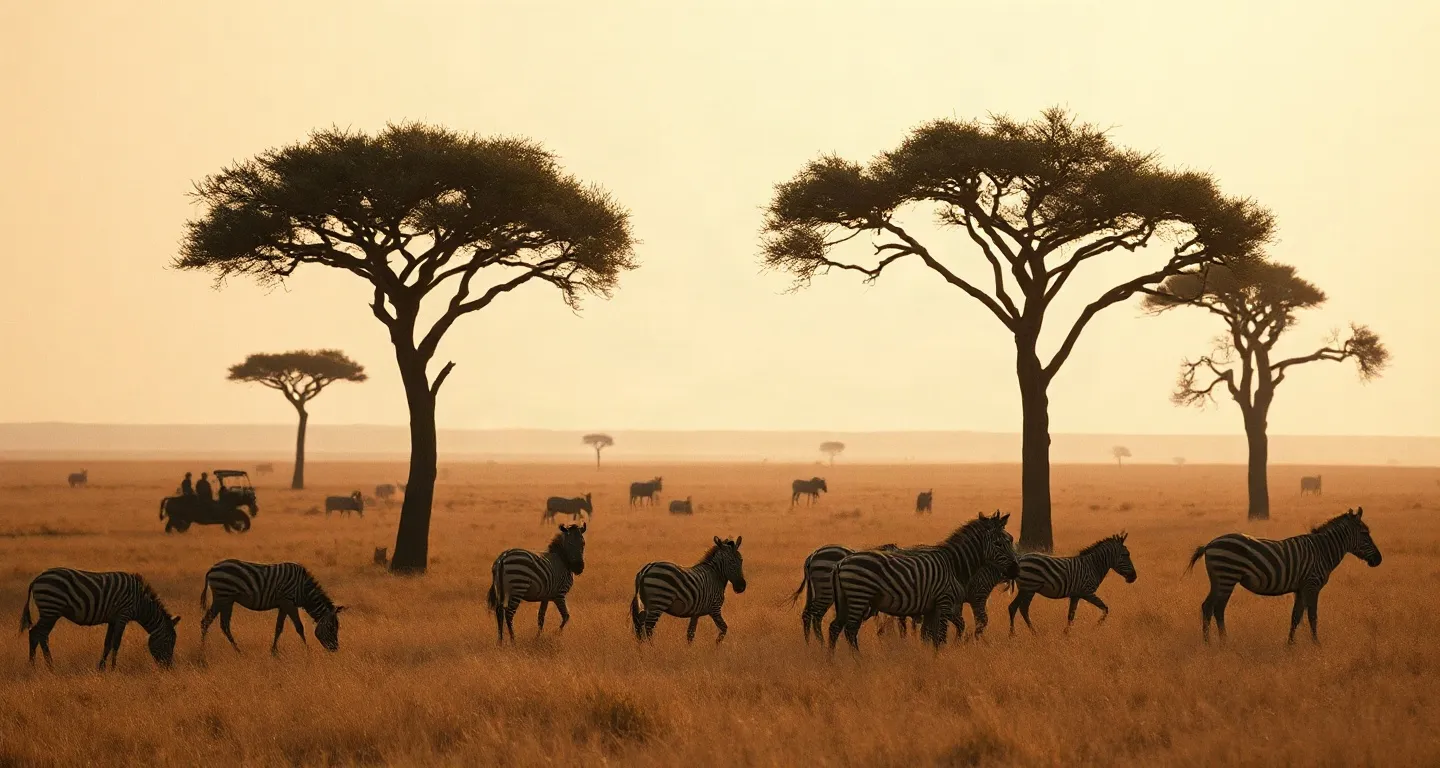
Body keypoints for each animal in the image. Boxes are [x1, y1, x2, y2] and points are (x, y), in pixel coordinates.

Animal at [19, 568, 181, 670]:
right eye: (169, 641)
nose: (168, 668)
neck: (140, 604)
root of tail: (37, 578)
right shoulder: (123, 615)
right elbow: (116, 643)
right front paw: (114, 668)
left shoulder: (113, 619)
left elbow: (107, 644)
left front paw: (102, 668)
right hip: (51, 609)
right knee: (38, 634)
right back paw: (45, 666)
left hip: (50, 611)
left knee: (37, 634)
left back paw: (37, 666)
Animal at [199, 560, 346, 655]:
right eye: (332, 628)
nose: (335, 649)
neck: (303, 590)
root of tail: (212, 568)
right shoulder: (288, 602)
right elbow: (299, 627)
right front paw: (307, 649)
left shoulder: (283, 605)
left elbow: (279, 627)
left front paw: (274, 651)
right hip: (222, 597)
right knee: (207, 622)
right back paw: (204, 652)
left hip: (227, 600)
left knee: (222, 625)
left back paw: (235, 651)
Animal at [828, 511, 1020, 651]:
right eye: (998, 543)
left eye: (1010, 540)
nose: (1016, 570)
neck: (954, 565)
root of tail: (840, 563)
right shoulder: (945, 602)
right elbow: (941, 636)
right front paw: (940, 659)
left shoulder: (931, 608)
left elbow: (929, 637)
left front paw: (929, 659)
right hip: (859, 596)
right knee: (850, 630)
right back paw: (857, 660)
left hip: (847, 600)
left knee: (835, 627)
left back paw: (832, 660)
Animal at [1007, 532, 1137, 635]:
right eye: (1125, 555)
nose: (1134, 577)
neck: (1093, 566)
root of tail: (1020, 558)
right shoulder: (1087, 593)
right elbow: (1105, 608)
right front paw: (1095, 627)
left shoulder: (1076, 595)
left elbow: (1071, 615)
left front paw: (1066, 634)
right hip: (1028, 588)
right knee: (1019, 608)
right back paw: (1020, 634)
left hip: (1027, 589)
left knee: (1018, 608)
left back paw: (1025, 633)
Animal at [1187, 507, 1381, 644]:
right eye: (1365, 534)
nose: (1379, 560)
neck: (1323, 551)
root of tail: (1210, 544)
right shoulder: (1312, 585)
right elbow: (1313, 616)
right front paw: (1316, 644)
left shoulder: (1301, 588)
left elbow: (1296, 616)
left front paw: (1290, 645)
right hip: (1227, 577)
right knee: (1217, 609)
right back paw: (1222, 642)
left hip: (1218, 580)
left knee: (1208, 607)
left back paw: (1209, 643)